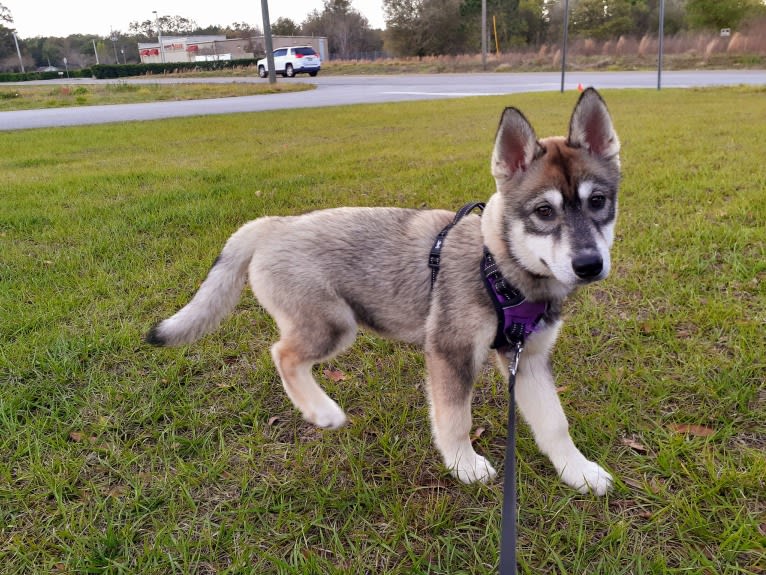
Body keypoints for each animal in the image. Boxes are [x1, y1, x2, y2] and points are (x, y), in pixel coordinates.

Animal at [147, 89, 620, 496]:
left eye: (598, 201)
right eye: (543, 211)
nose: (589, 265)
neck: (500, 265)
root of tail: (272, 225)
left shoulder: (530, 358)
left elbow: (554, 423)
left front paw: (578, 471)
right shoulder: (451, 353)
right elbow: (455, 419)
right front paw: (464, 465)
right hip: (333, 325)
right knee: (282, 354)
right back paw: (322, 411)